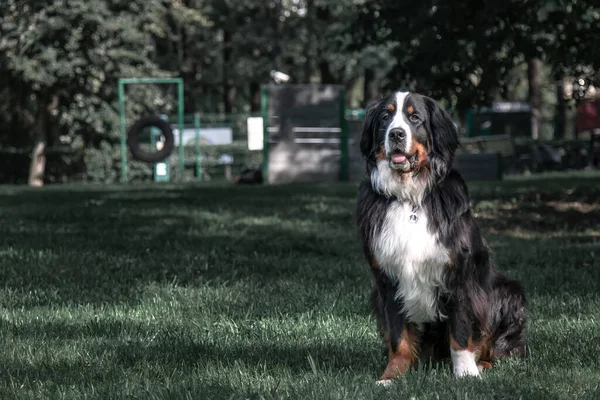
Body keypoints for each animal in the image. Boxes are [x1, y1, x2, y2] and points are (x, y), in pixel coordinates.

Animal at [356, 90, 524, 384]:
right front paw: (391, 375)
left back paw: (483, 364)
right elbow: (398, 337)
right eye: (386, 117)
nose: (396, 134)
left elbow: (460, 332)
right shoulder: (387, 280)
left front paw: (465, 372)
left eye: (415, 118)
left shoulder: (459, 274)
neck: (410, 197)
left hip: (508, 291)